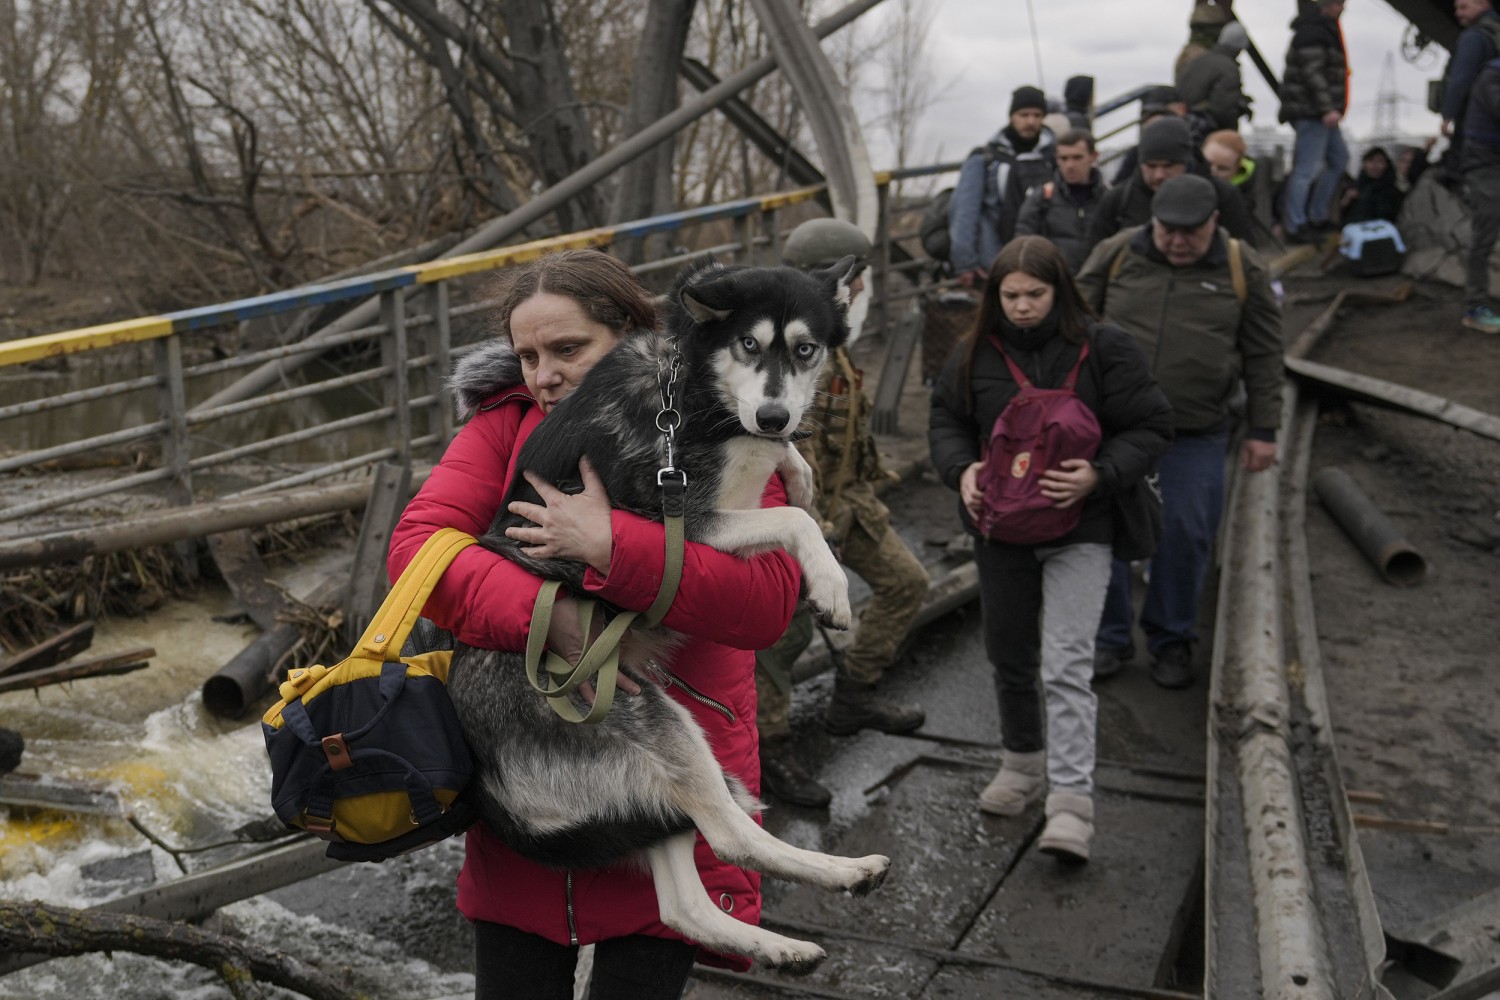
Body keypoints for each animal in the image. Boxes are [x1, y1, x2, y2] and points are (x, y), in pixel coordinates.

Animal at [444, 257, 888, 971]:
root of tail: (487, 785)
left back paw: (782, 943)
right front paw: (830, 584)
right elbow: (794, 520)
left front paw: (799, 469)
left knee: (683, 904)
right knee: (732, 837)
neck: (696, 390)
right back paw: (841, 875)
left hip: (641, 787)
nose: (773, 415)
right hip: (658, 722)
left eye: (805, 349)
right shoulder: (681, 521)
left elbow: (793, 488)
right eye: (749, 344)